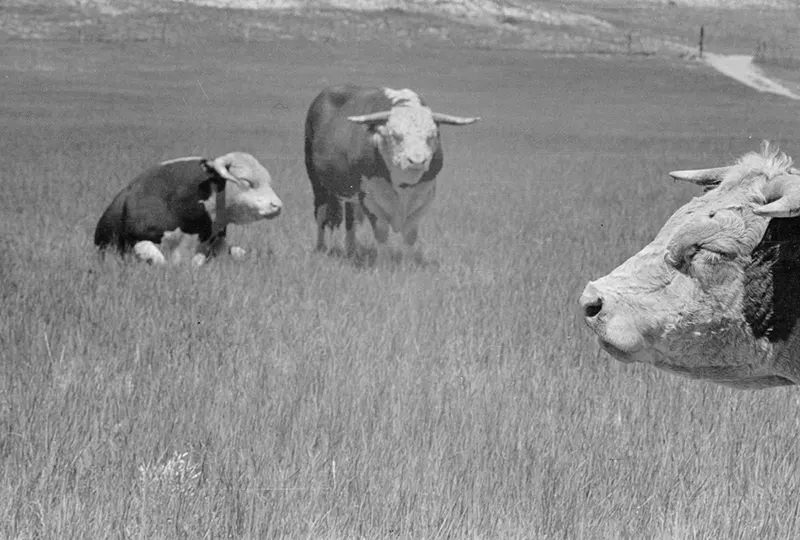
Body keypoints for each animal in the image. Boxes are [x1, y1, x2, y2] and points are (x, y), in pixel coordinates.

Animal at [304, 85, 478, 260]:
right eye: (395, 135)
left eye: (431, 136)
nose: (417, 161)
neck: (403, 184)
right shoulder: (369, 199)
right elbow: (381, 232)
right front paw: (384, 263)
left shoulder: (424, 198)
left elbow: (410, 235)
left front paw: (408, 264)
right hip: (316, 181)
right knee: (320, 213)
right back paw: (320, 247)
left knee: (350, 217)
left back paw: (351, 250)